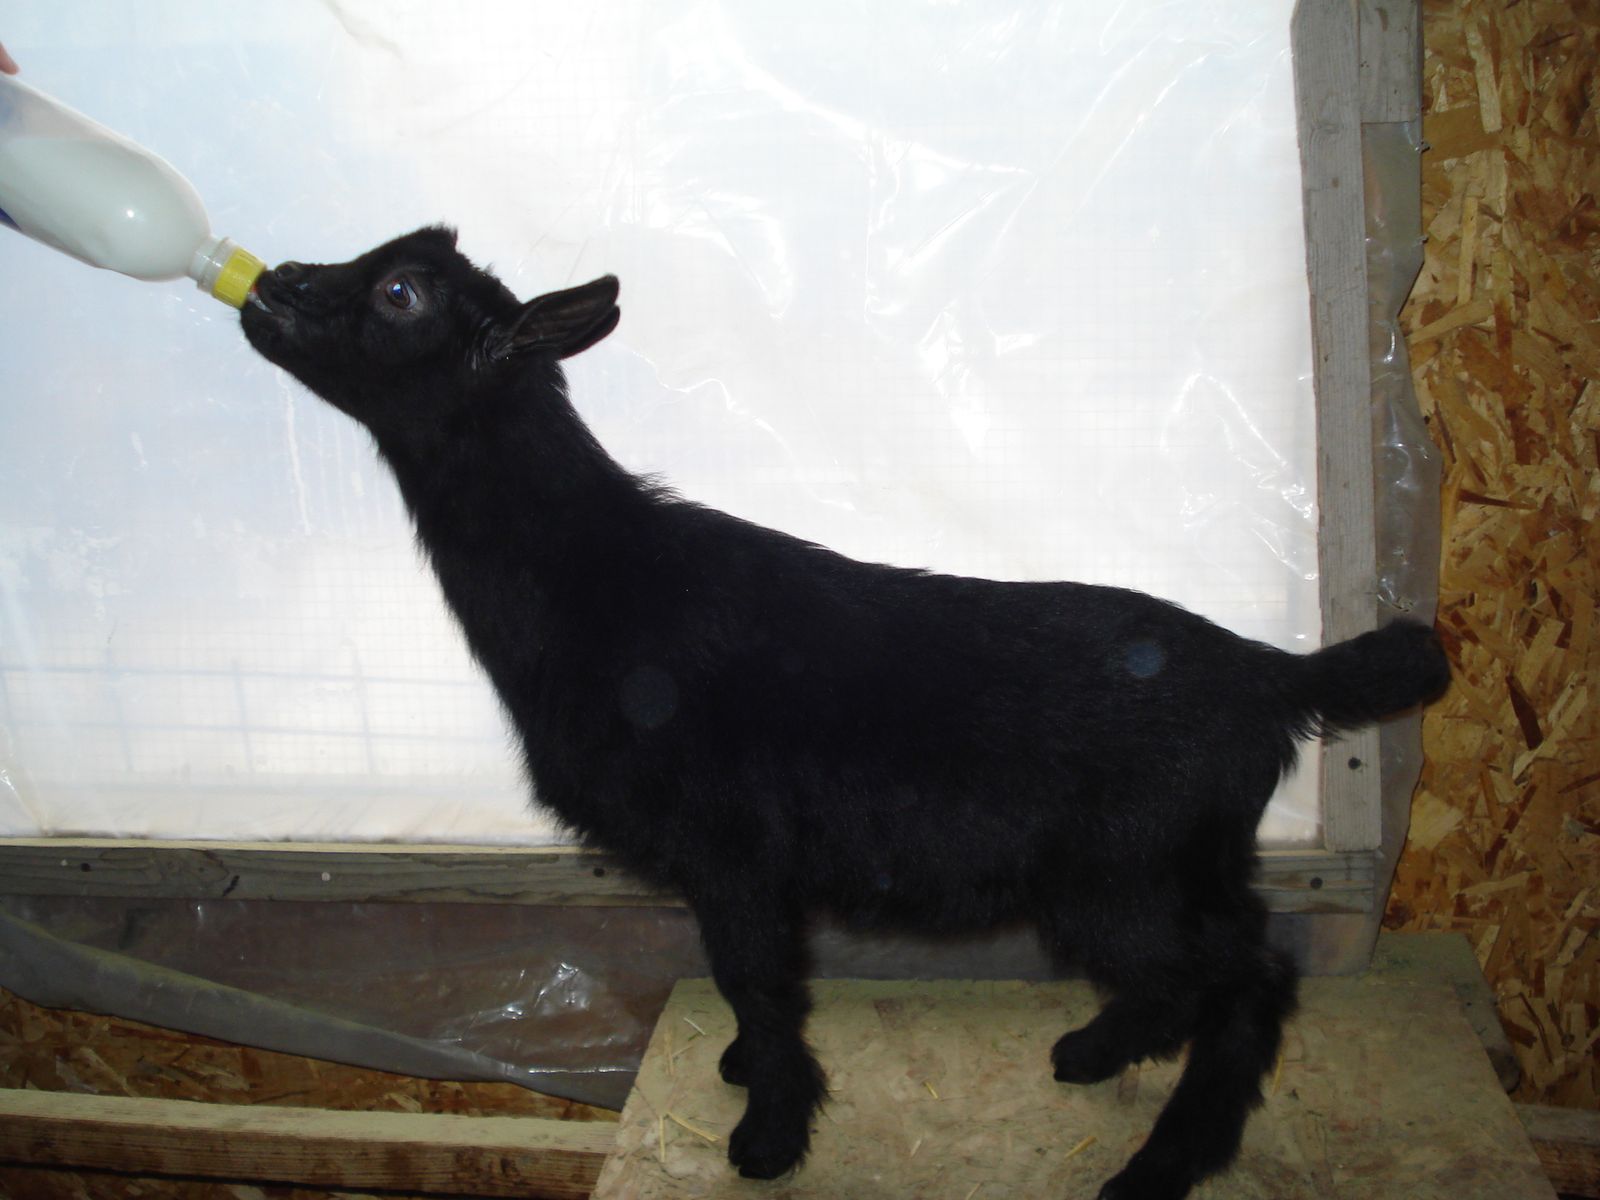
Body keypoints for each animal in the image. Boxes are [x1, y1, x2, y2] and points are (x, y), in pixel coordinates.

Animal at [241, 226, 1450, 1200]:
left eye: (401, 292)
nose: (275, 285)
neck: (597, 580)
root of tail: (1270, 674)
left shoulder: (732, 849)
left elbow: (757, 977)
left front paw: (770, 1133)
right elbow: (754, 982)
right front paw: (745, 1074)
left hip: (1131, 872)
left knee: (1250, 981)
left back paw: (1159, 1165)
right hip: (1171, 869)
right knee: (1206, 972)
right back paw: (1093, 1055)